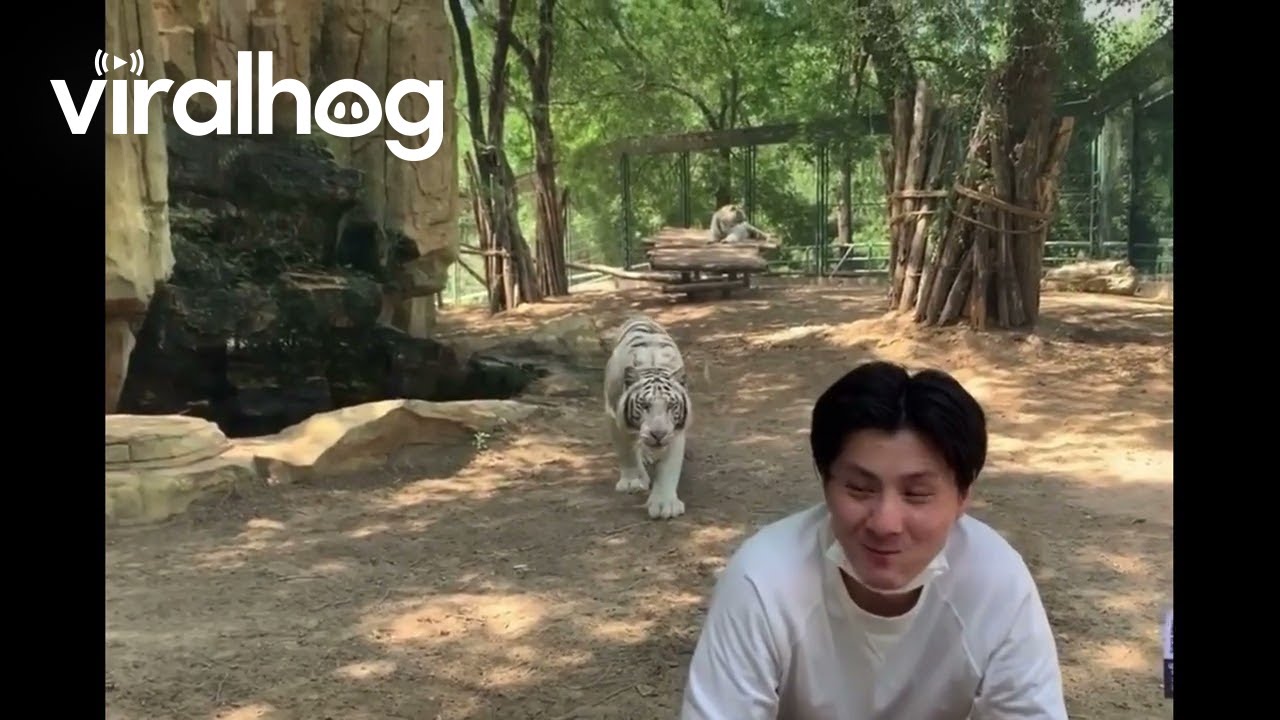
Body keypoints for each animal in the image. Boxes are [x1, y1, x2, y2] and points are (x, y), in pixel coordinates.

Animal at [603, 314, 692, 520]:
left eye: (671, 406)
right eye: (644, 405)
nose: (658, 434)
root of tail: (639, 315)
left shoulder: (675, 430)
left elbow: (669, 467)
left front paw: (664, 504)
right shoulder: (613, 417)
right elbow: (626, 452)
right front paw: (632, 482)